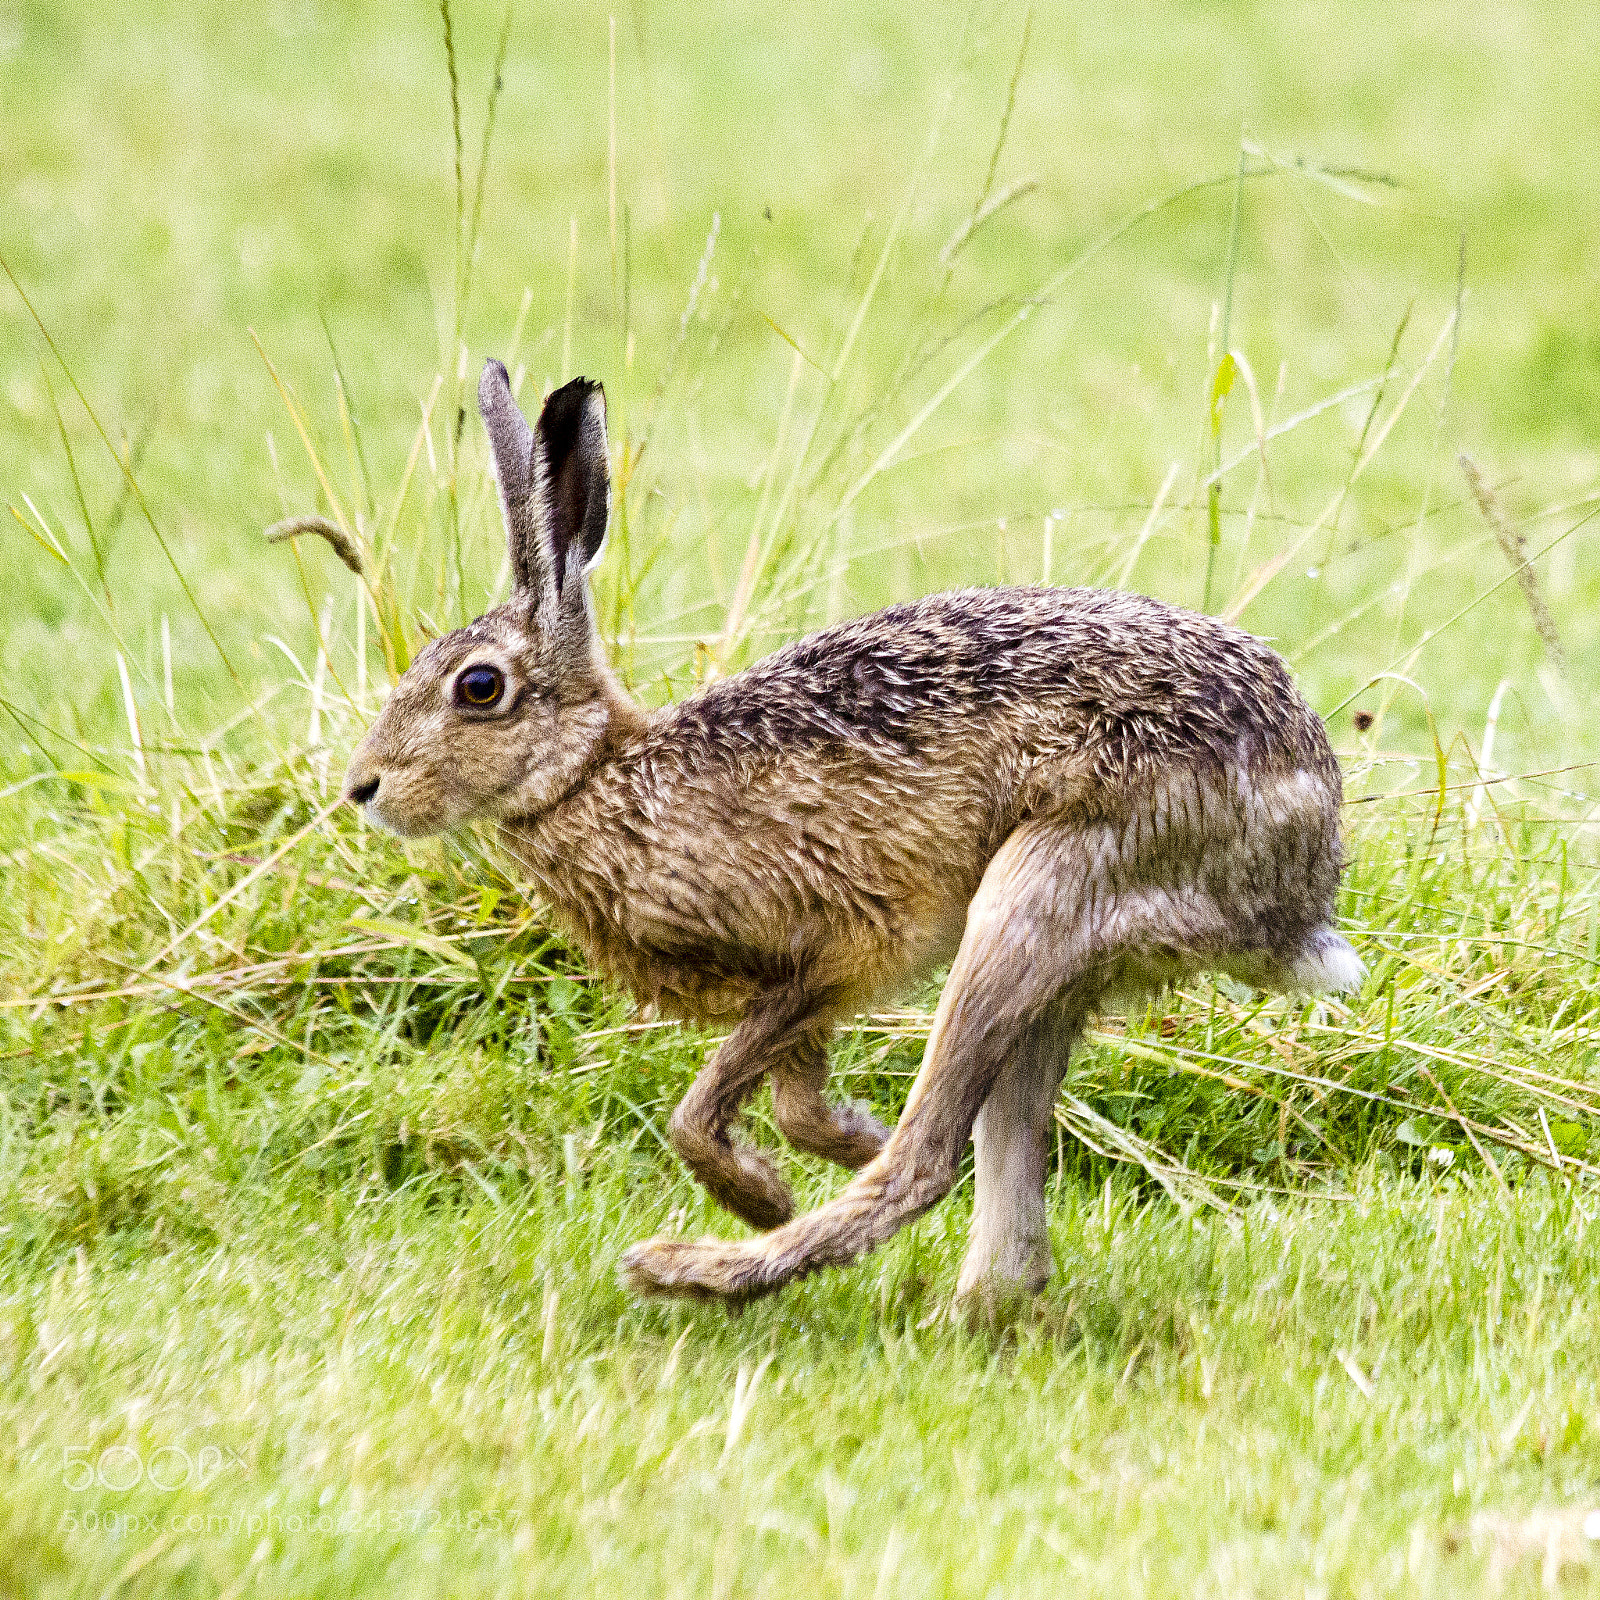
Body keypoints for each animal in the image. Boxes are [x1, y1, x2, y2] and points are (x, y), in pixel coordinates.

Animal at [342, 358, 1363, 1312]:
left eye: (479, 687)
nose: (364, 788)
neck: (599, 775)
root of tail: (1307, 854)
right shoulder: (800, 998)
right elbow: (790, 1102)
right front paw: (832, 1139)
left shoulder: (827, 954)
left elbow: (700, 1110)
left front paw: (763, 1195)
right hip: (1060, 960)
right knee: (1004, 1181)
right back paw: (967, 1308)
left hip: (1039, 888)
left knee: (928, 1161)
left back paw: (697, 1270)